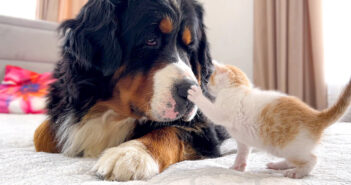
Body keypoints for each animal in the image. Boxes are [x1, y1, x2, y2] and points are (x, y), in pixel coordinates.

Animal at [33, 0, 230, 182]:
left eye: (190, 48)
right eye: (150, 40)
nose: (191, 93)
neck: (109, 111)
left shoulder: (204, 128)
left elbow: (169, 131)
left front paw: (132, 154)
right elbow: (40, 135)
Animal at [188, 62, 351, 179]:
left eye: (211, 78)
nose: (206, 84)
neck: (237, 88)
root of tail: (315, 116)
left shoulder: (223, 110)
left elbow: (210, 109)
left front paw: (196, 94)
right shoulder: (243, 140)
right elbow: (242, 152)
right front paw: (238, 166)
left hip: (289, 147)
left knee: (312, 159)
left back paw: (297, 172)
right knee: (293, 160)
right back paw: (279, 165)